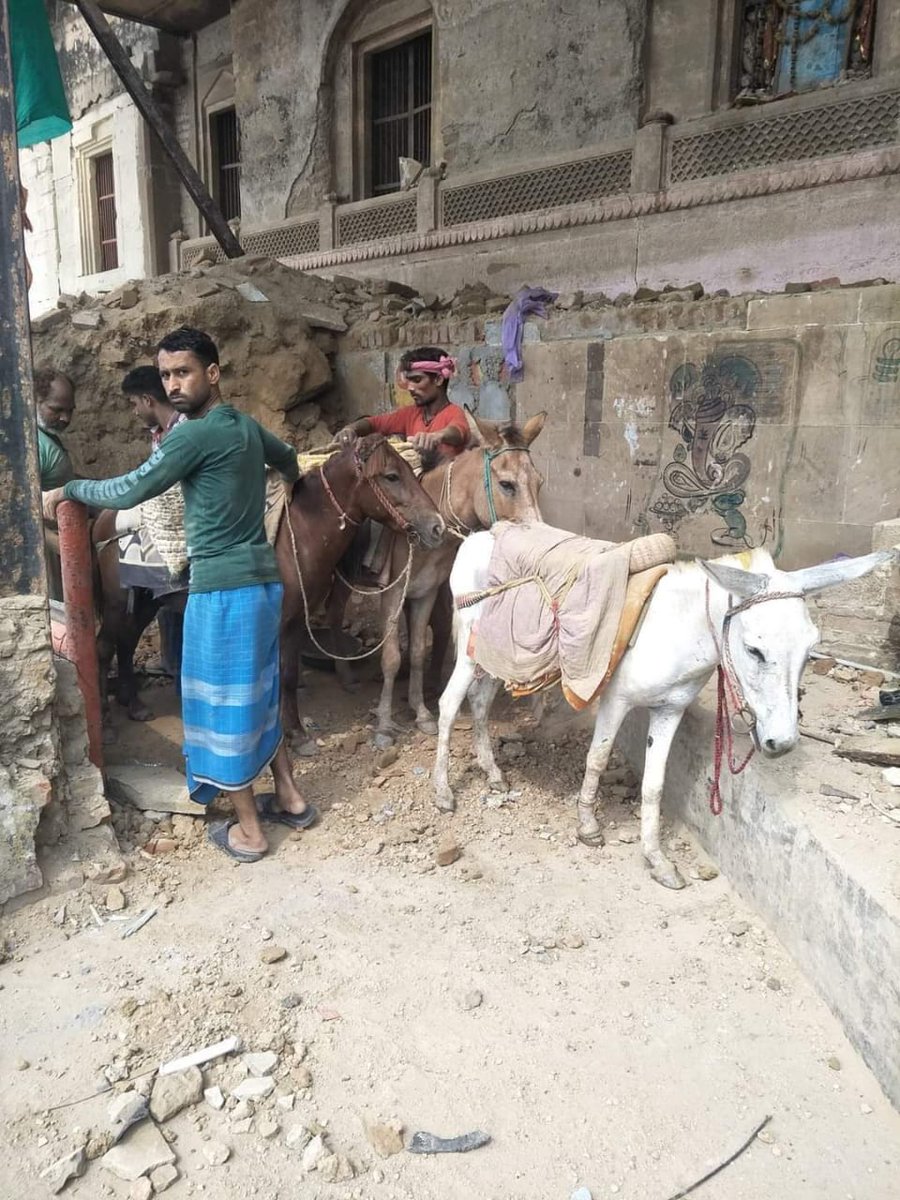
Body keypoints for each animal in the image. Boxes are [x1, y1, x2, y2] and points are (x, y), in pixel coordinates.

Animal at [326, 411, 547, 750]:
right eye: (506, 485)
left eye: (539, 482)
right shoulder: (391, 593)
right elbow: (390, 658)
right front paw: (384, 724)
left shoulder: (425, 593)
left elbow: (417, 651)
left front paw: (421, 713)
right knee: (335, 615)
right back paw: (345, 675)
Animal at [433, 536, 897, 888]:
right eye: (754, 650)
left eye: (810, 648)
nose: (781, 743)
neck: (678, 629)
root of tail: (479, 534)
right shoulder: (615, 701)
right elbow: (597, 759)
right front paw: (588, 827)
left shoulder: (670, 709)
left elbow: (654, 786)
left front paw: (657, 860)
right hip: (472, 649)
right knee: (448, 706)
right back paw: (443, 792)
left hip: (498, 653)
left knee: (479, 702)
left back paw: (493, 773)